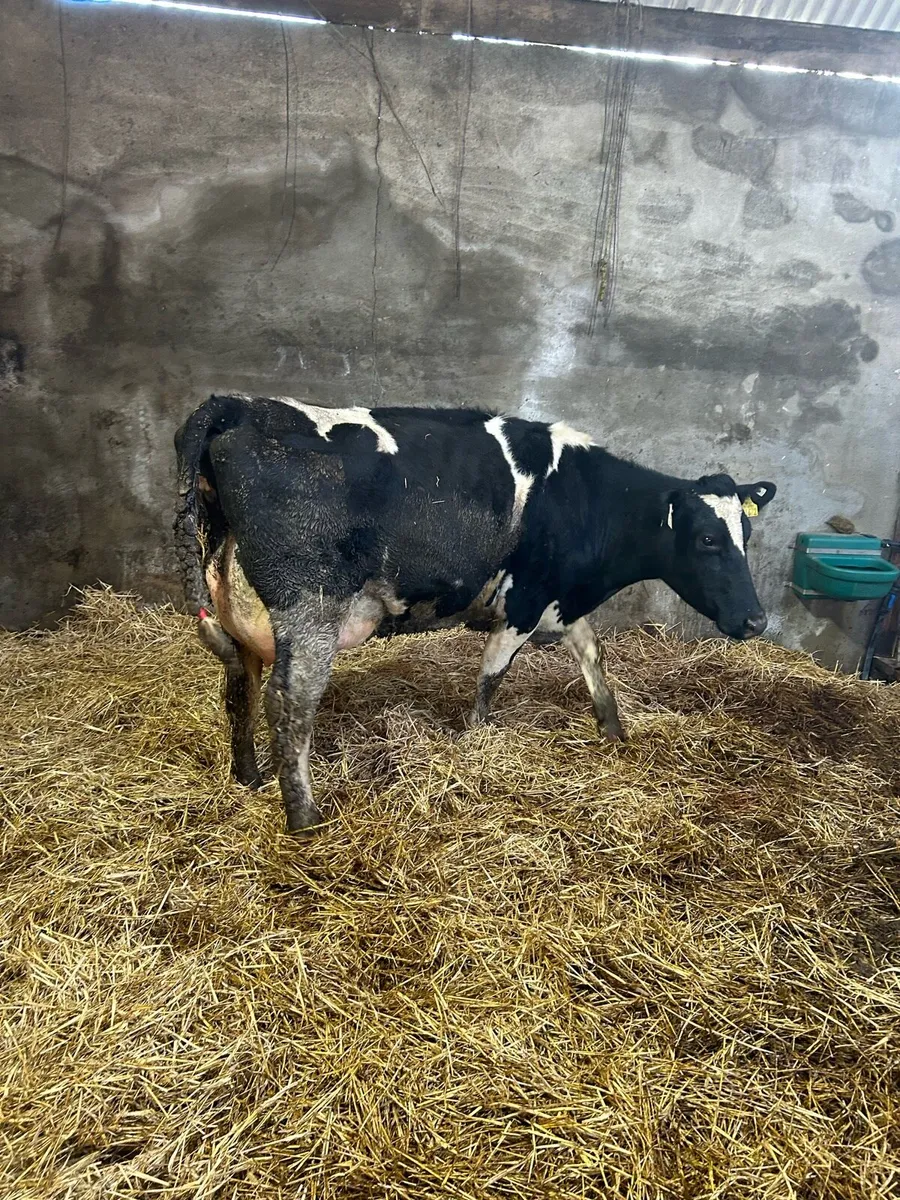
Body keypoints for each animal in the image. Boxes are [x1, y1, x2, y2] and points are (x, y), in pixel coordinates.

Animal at [174, 394, 776, 835]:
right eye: (707, 539)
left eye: (745, 533)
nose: (755, 621)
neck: (585, 500)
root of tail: (237, 405)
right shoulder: (526, 600)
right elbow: (492, 676)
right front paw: (475, 741)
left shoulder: (559, 600)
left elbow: (593, 654)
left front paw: (612, 730)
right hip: (309, 606)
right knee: (290, 702)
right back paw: (305, 818)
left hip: (232, 605)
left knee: (238, 685)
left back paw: (248, 775)